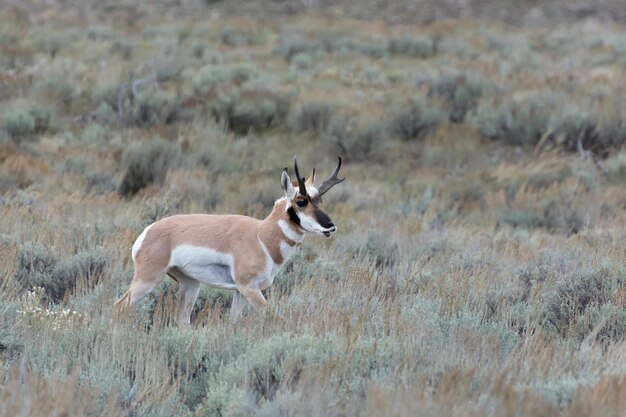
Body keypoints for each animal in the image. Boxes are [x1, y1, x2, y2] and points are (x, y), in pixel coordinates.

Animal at [114, 156, 344, 324]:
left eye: (319, 200)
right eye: (301, 201)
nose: (330, 226)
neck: (260, 236)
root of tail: (148, 231)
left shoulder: (240, 293)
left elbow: (234, 323)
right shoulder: (249, 289)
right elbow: (272, 315)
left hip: (190, 284)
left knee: (182, 319)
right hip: (147, 280)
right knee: (120, 307)